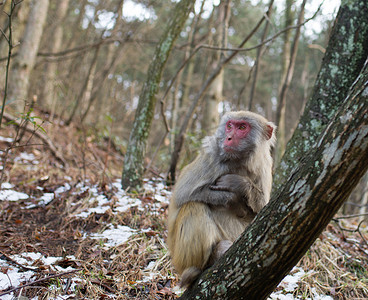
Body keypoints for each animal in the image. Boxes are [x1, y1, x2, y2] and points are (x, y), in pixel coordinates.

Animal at [168, 110, 274, 286]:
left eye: (242, 127)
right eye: (229, 126)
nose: (229, 137)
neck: (239, 161)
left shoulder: (264, 163)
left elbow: (262, 209)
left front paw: (240, 184)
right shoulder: (211, 156)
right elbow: (182, 195)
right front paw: (232, 199)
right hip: (179, 259)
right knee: (194, 205)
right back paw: (197, 269)